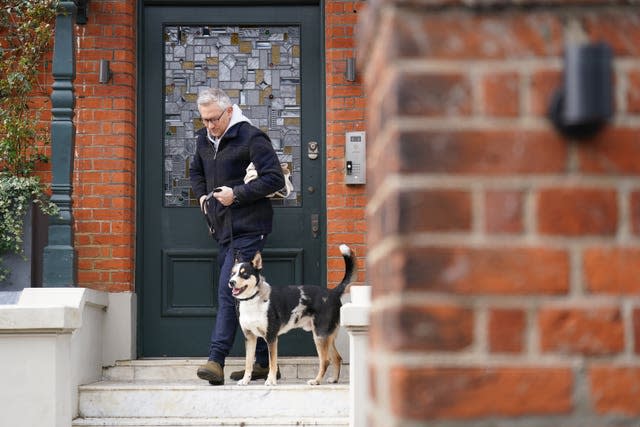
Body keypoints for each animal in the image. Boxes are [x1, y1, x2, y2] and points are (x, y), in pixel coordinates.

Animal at [230, 244, 358, 388]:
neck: (253, 299)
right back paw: (334, 379)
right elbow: (248, 362)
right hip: (326, 336)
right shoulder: (250, 337)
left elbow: (272, 362)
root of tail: (333, 292)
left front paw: (271, 380)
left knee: (325, 360)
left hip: (320, 335)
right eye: (232, 273)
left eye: (244, 274)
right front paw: (245, 380)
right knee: (337, 358)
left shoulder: (271, 337)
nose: (231, 282)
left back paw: (316, 381)